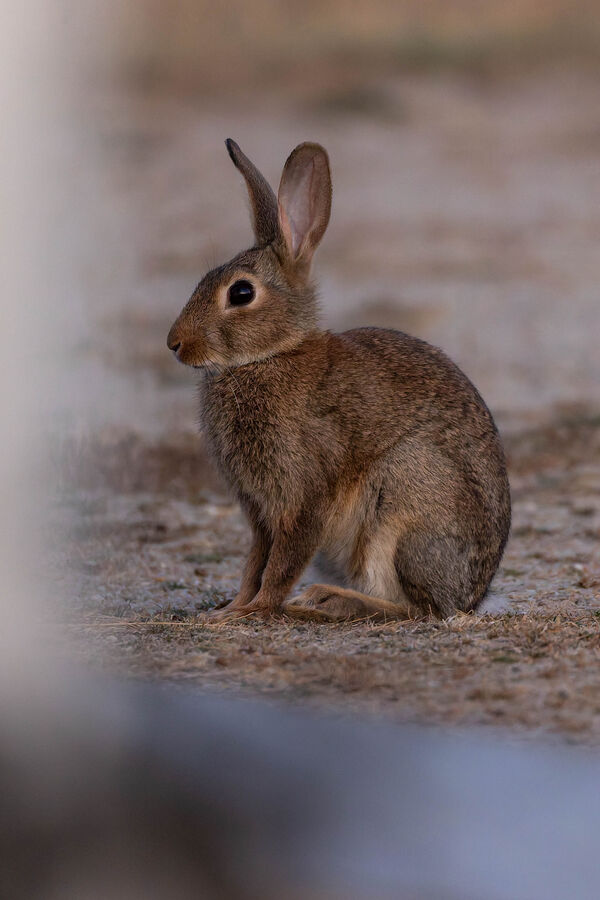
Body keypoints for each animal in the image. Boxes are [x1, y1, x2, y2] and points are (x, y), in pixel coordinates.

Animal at [167, 139, 511, 622]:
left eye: (241, 293)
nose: (174, 344)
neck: (269, 355)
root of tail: (471, 596)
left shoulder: (306, 495)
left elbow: (282, 563)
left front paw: (253, 611)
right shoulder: (259, 512)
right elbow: (255, 562)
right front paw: (231, 608)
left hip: (403, 500)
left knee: (418, 609)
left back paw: (324, 602)